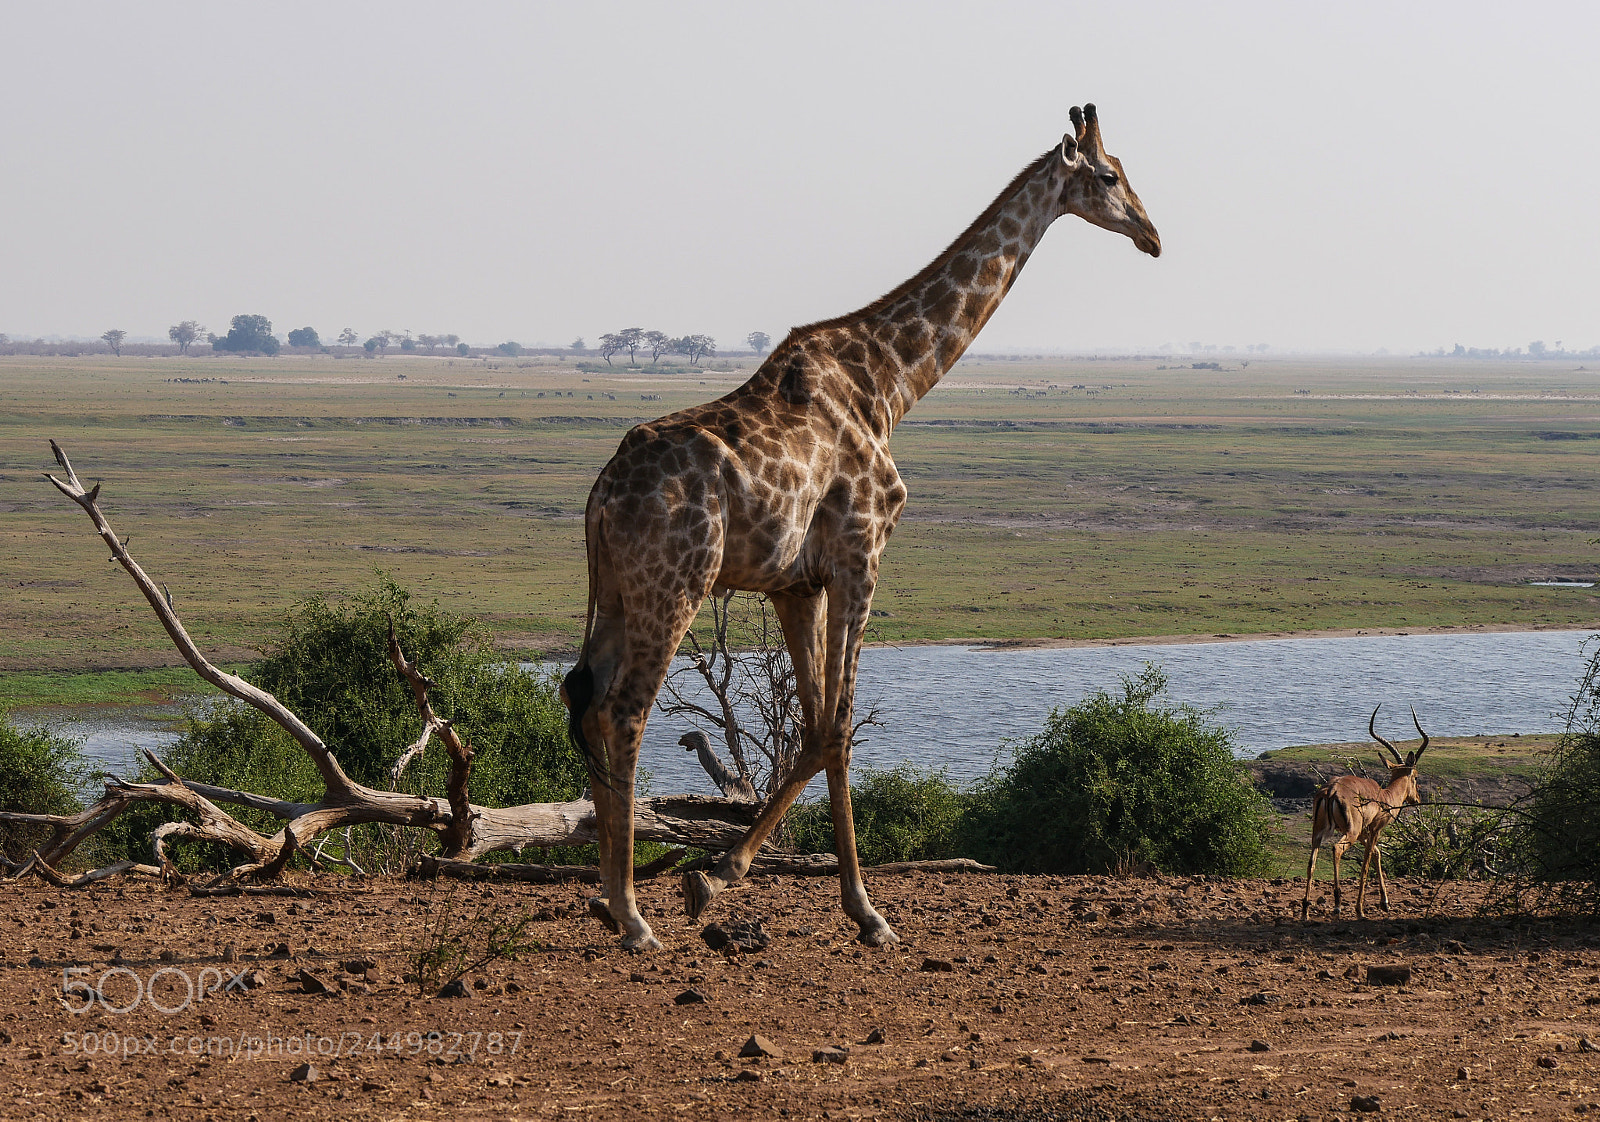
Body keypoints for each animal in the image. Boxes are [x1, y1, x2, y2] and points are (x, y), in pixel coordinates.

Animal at [563, 104, 1160, 951]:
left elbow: (815, 729)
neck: (895, 379)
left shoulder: (795, 584)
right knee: (624, 710)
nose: (1153, 234)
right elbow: (841, 727)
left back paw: (605, 900)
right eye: (1110, 177)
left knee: (585, 700)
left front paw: (721, 878)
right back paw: (631, 915)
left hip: (618, 590)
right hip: (674, 584)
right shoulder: (861, 553)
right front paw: (863, 912)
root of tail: (602, 496)